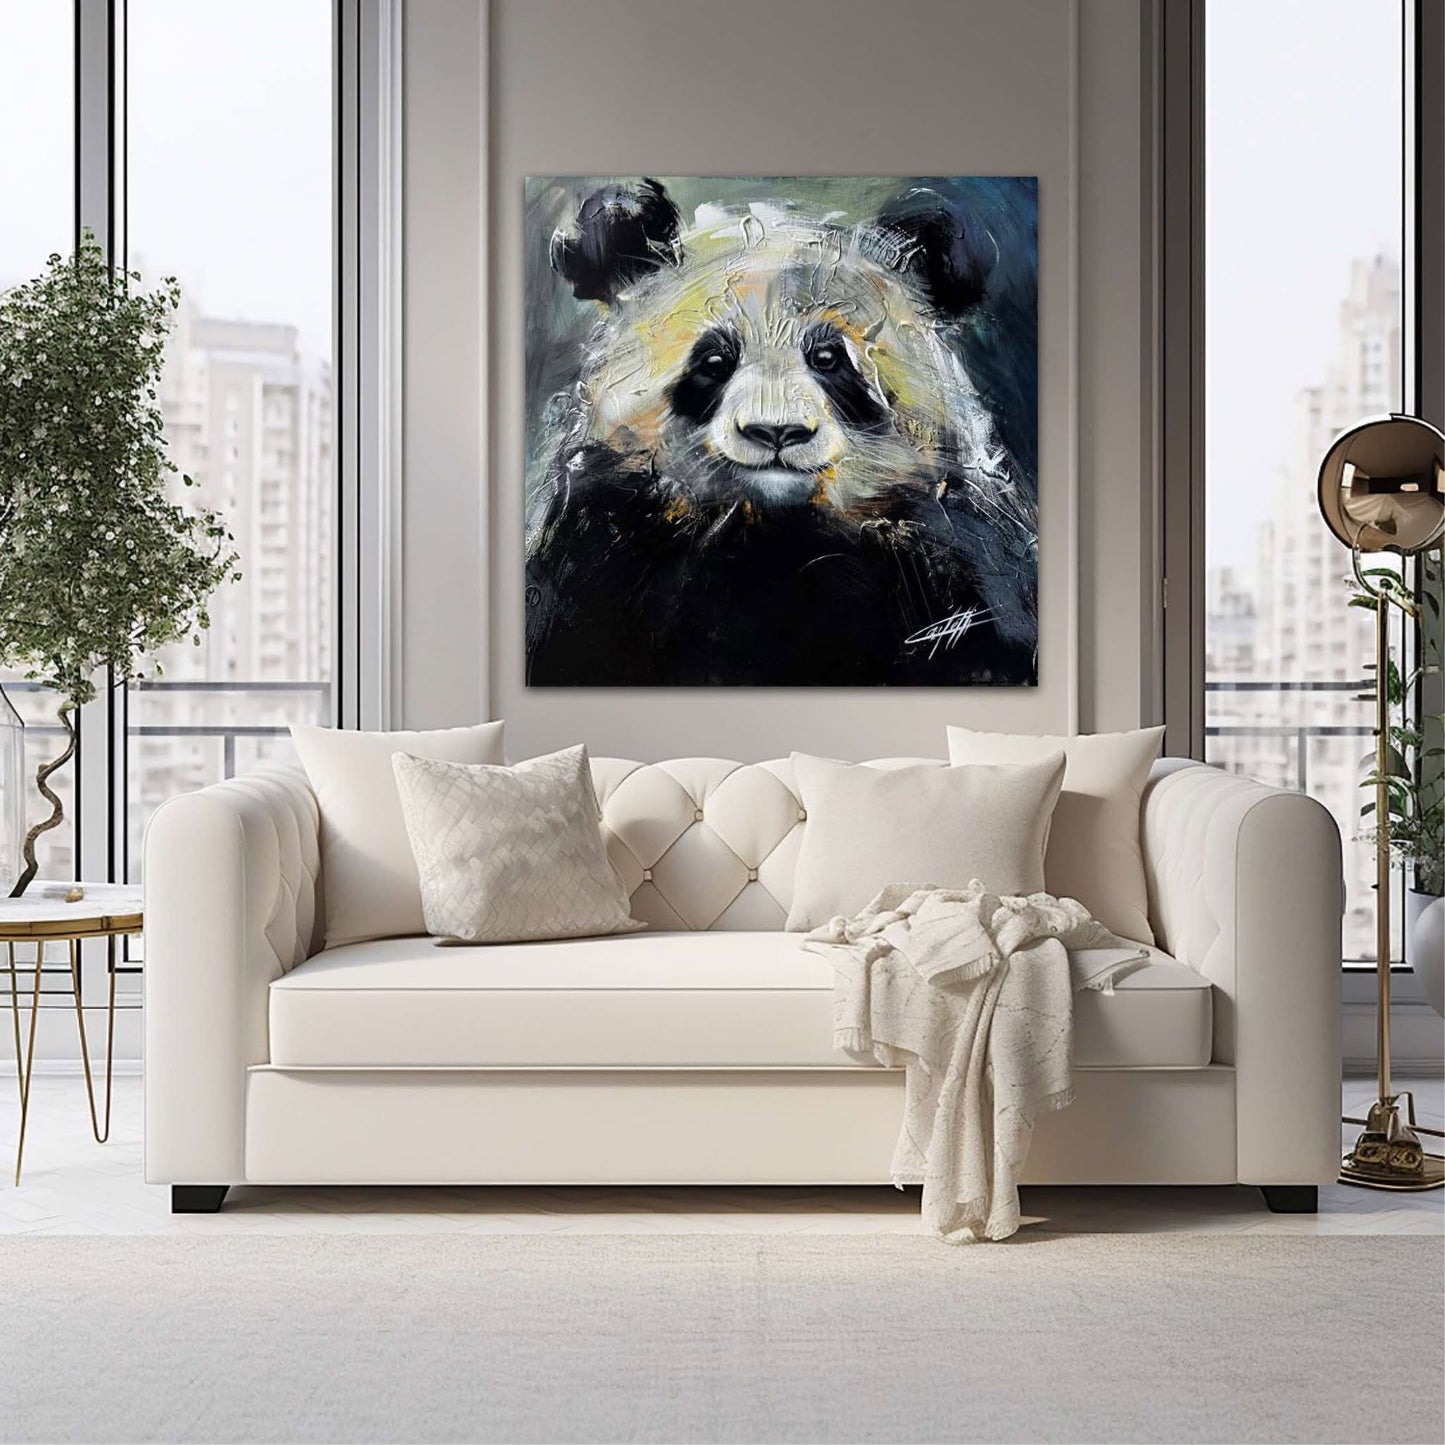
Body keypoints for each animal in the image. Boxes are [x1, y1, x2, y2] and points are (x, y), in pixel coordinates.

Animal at [525, 177, 1038, 687]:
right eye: (715, 360)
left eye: (828, 357)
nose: (776, 432)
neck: (772, 525)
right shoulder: (604, 546)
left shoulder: (953, 553)